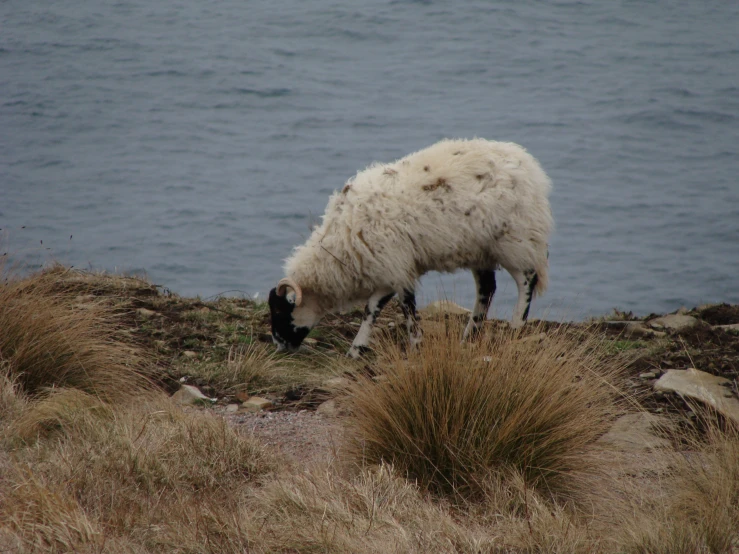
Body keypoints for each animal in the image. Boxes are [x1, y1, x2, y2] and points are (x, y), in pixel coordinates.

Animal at [268, 136, 552, 356]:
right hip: (480, 250)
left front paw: (415, 345)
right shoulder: (388, 267)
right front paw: (356, 350)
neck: (341, 246)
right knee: (487, 289)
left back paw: (516, 327)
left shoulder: (396, 266)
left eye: (280, 311)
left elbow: (405, 308)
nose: (279, 346)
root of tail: (529, 165)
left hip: (515, 240)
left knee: (526, 280)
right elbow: (372, 309)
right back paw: (468, 337)